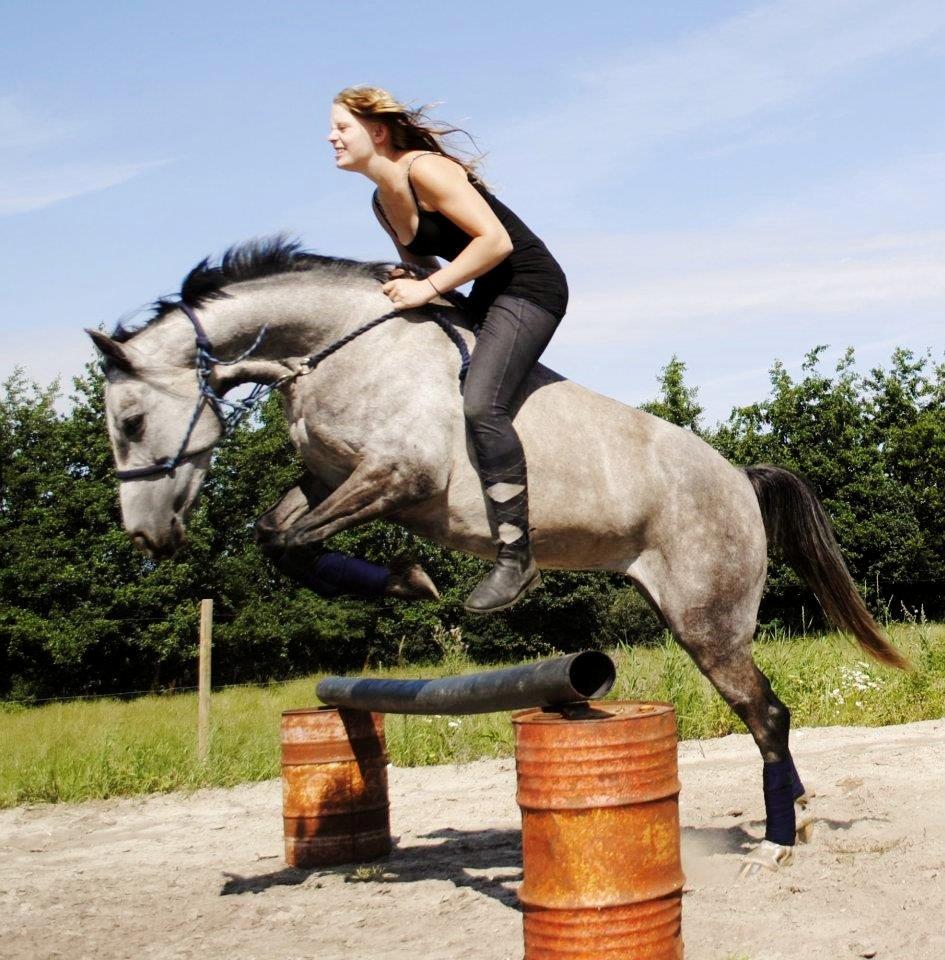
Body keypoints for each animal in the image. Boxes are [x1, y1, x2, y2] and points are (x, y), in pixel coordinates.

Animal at [88, 236, 908, 872]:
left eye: (130, 421)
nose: (147, 536)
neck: (339, 348)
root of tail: (740, 477)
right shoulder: (330, 476)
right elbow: (276, 534)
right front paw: (406, 581)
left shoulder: (401, 477)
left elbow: (294, 538)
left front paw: (410, 580)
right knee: (766, 712)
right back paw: (796, 813)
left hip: (707, 621)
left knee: (766, 712)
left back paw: (776, 840)